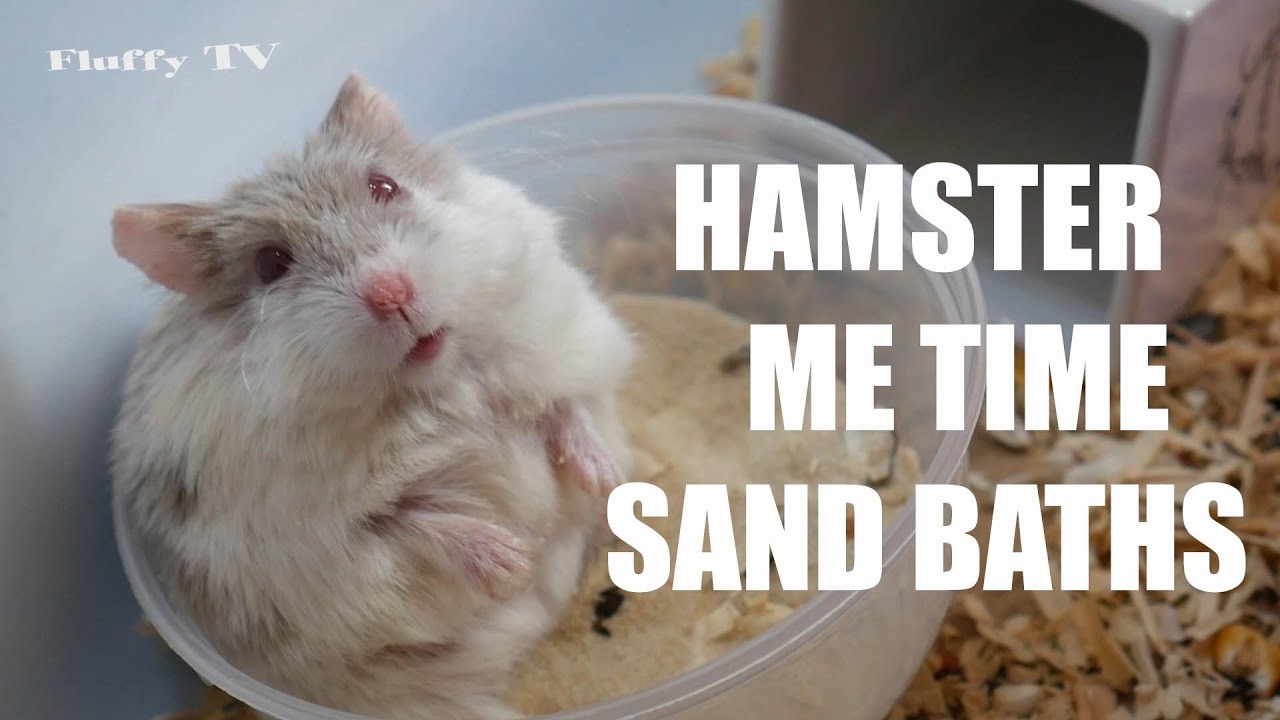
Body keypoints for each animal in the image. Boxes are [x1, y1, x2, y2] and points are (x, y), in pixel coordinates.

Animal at [109, 74, 635, 720]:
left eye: (384, 186)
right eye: (270, 262)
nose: (392, 292)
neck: (439, 380)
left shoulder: (565, 350)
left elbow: (568, 407)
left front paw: (604, 479)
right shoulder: (326, 538)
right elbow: (413, 518)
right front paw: (510, 562)